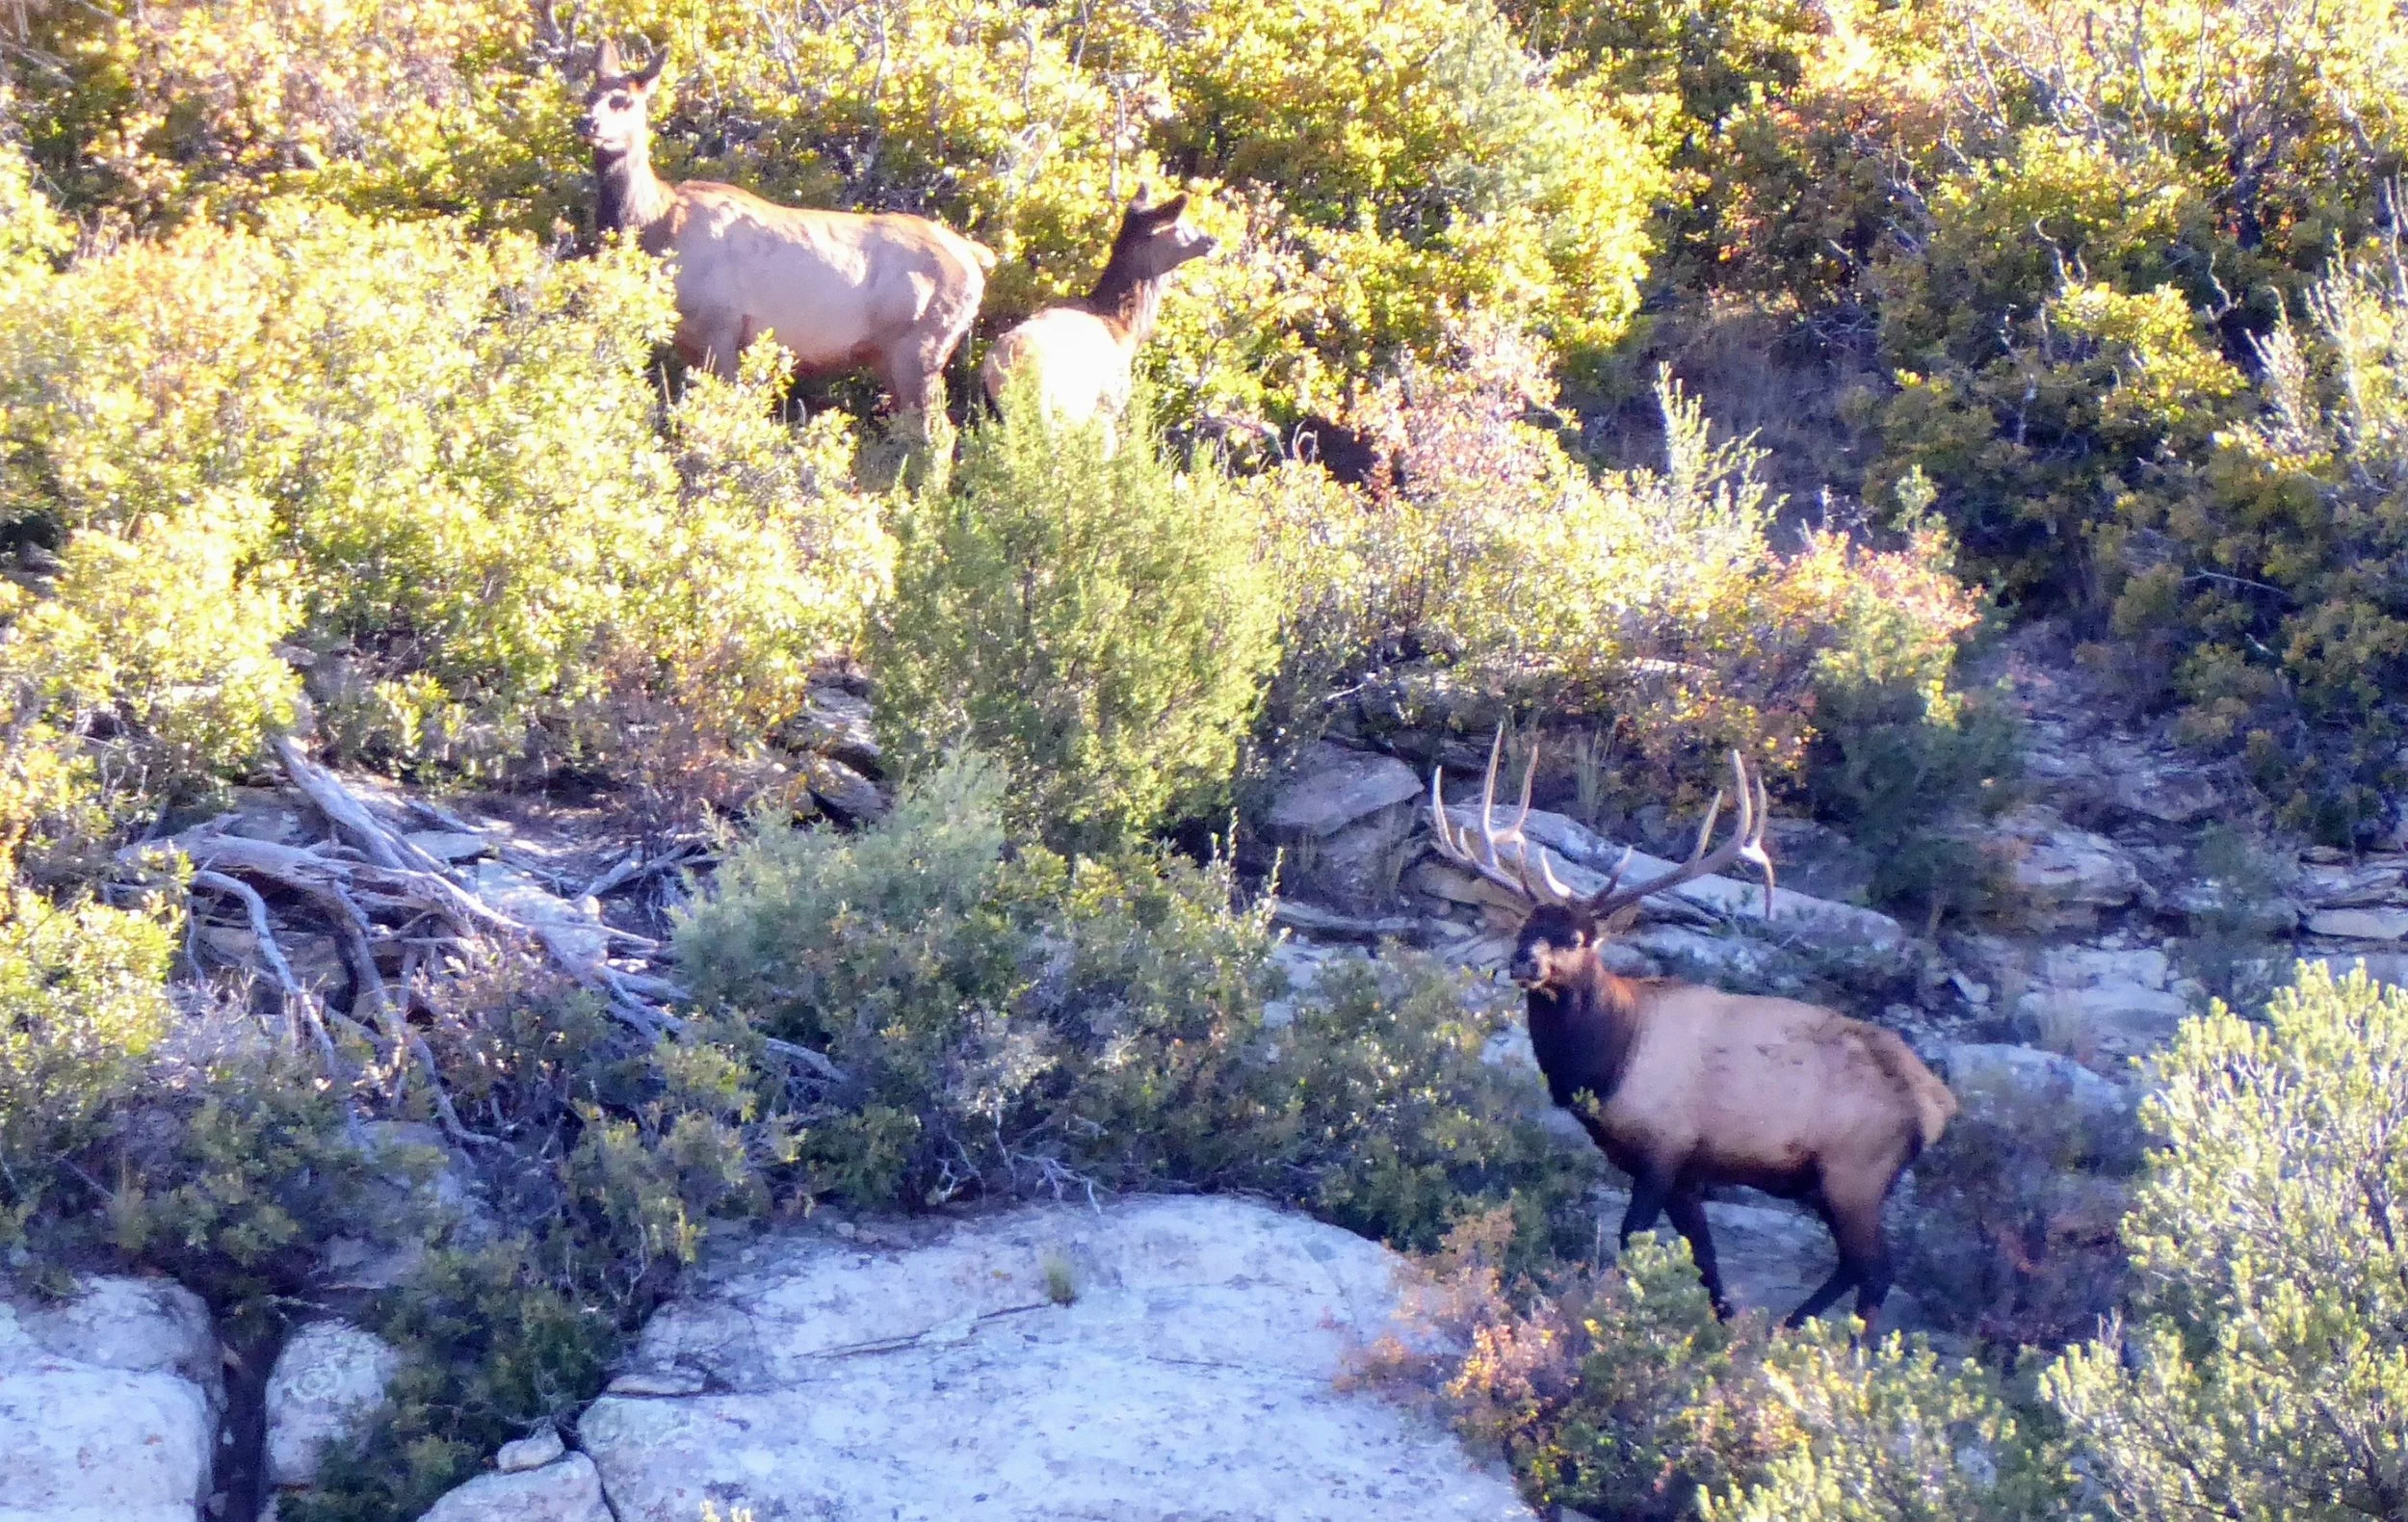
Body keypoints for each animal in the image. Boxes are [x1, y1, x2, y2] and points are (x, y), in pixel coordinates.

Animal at [581, 40, 995, 435]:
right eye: (587, 94)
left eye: (624, 100)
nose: (587, 122)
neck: (659, 225)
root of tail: (974, 256)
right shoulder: (689, 342)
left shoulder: (721, 324)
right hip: (890, 355)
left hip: (921, 343)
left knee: (938, 435)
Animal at [979, 188, 1218, 447]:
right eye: (1179, 226)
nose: (1212, 240)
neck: (1124, 330)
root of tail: (994, 370)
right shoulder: (1107, 407)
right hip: (1049, 411)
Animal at [1427, 731, 1956, 1338]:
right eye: (1526, 925)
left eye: (1579, 937)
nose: (1524, 963)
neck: (1605, 1065)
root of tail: (1938, 1104)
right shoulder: (1681, 1170)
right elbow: (1704, 1257)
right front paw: (1720, 1326)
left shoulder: (1664, 1147)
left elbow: (1633, 1240)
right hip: (1833, 1183)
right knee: (1854, 1265)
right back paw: (1789, 1326)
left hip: (1858, 1171)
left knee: (1876, 1270)